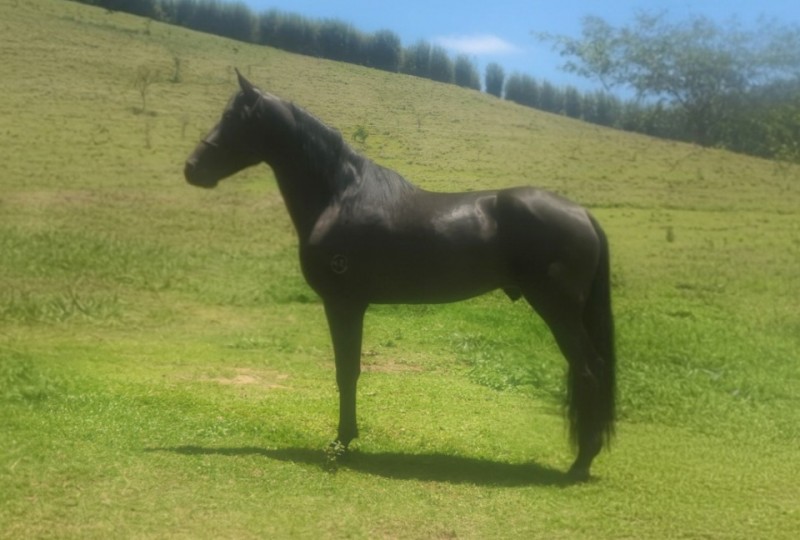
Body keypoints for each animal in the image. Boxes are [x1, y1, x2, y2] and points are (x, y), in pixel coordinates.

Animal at [184, 70, 616, 481]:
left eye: (233, 118)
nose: (192, 168)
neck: (339, 197)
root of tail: (582, 214)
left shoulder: (343, 304)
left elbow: (346, 372)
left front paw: (341, 443)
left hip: (558, 310)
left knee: (589, 371)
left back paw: (580, 463)